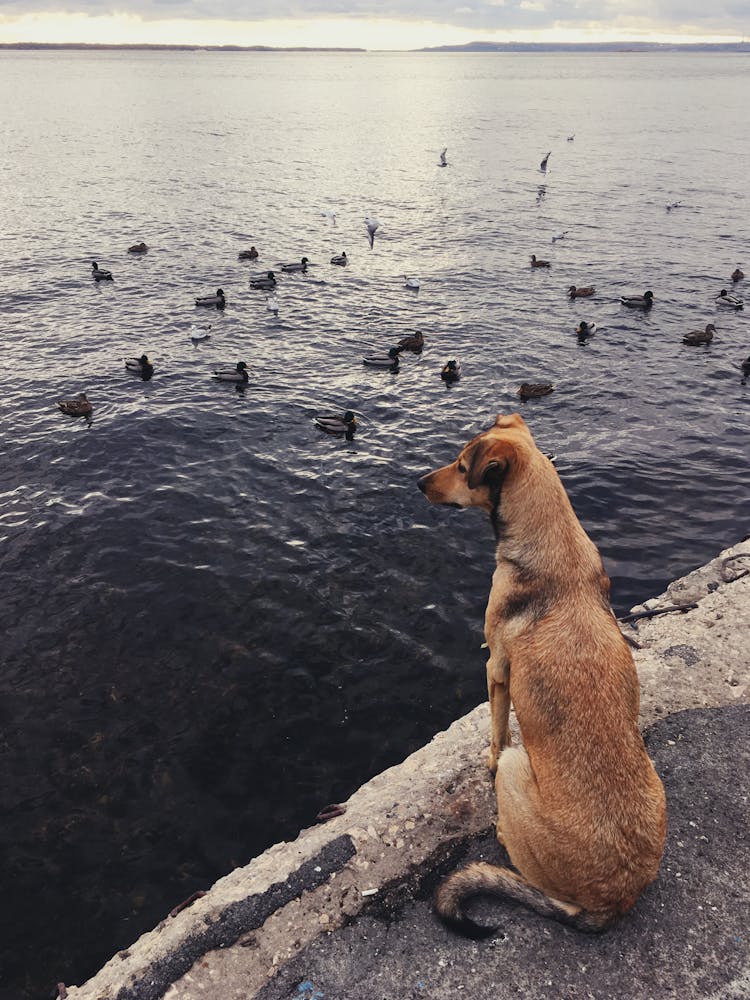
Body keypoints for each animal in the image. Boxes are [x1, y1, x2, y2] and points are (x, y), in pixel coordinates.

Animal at [418, 416, 668, 936]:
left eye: (461, 466)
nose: (418, 483)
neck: (552, 536)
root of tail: (611, 901)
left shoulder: (495, 666)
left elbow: (496, 731)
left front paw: (486, 758)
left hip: (519, 768)